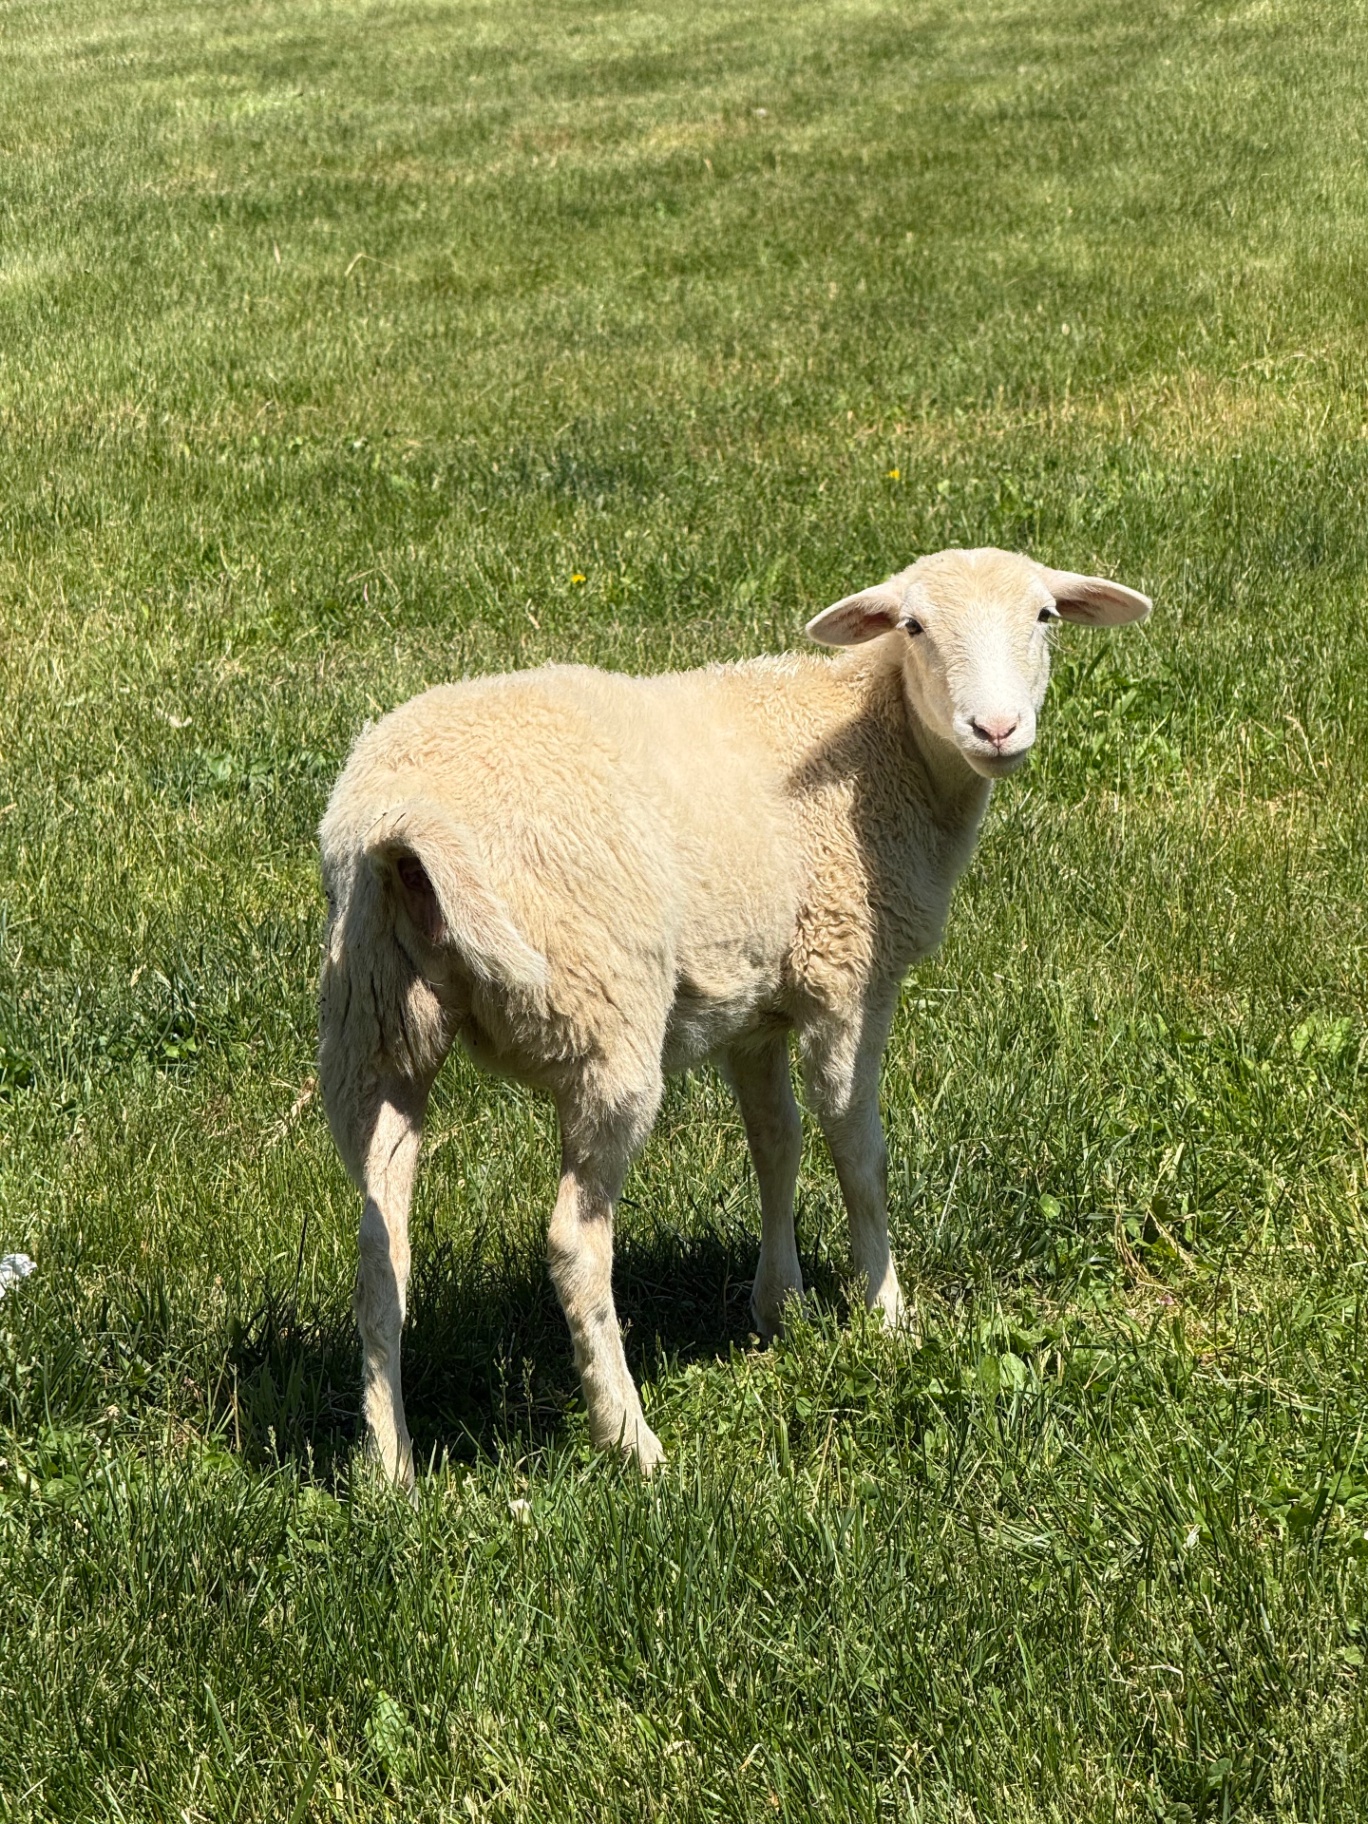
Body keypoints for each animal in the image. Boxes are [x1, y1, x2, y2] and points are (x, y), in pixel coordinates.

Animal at [318, 546, 1151, 1484]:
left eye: (1045, 616)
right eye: (913, 626)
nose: (998, 729)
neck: (882, 745)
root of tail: (399, 816)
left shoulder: (757, 1001)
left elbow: (774, 1142)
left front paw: (778, 1304)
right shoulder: (846, 973)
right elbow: (858, 1151)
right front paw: (887, 1314)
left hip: (370, 1023)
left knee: (379, 1255)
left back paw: (391, 1468)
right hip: (603, 1017)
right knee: (575, 1241)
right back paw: (629, 1437)